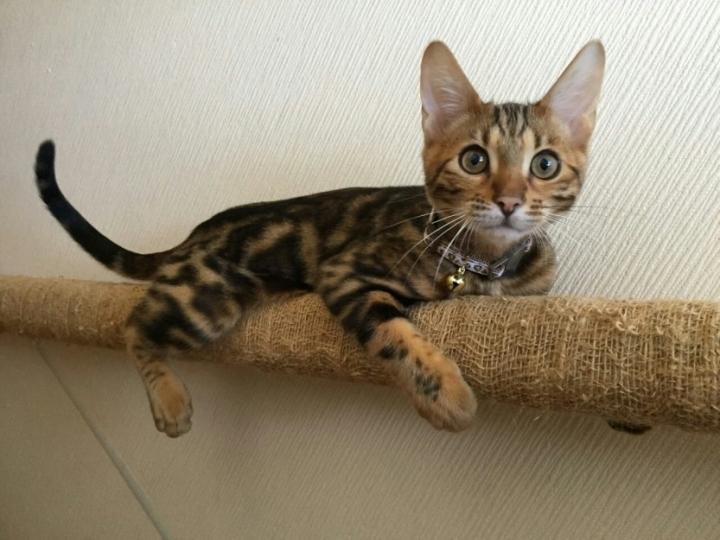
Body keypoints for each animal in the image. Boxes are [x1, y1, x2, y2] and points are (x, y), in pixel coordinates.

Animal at [35, 40, 608, 438]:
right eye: (473, 160)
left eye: (545, 164)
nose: (509, 201)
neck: (483, 265)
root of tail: (194, 235)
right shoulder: (347, 272)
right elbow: (395, 333)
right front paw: (446, 395)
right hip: (210, 297)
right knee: (133, 326)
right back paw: (170, 403)